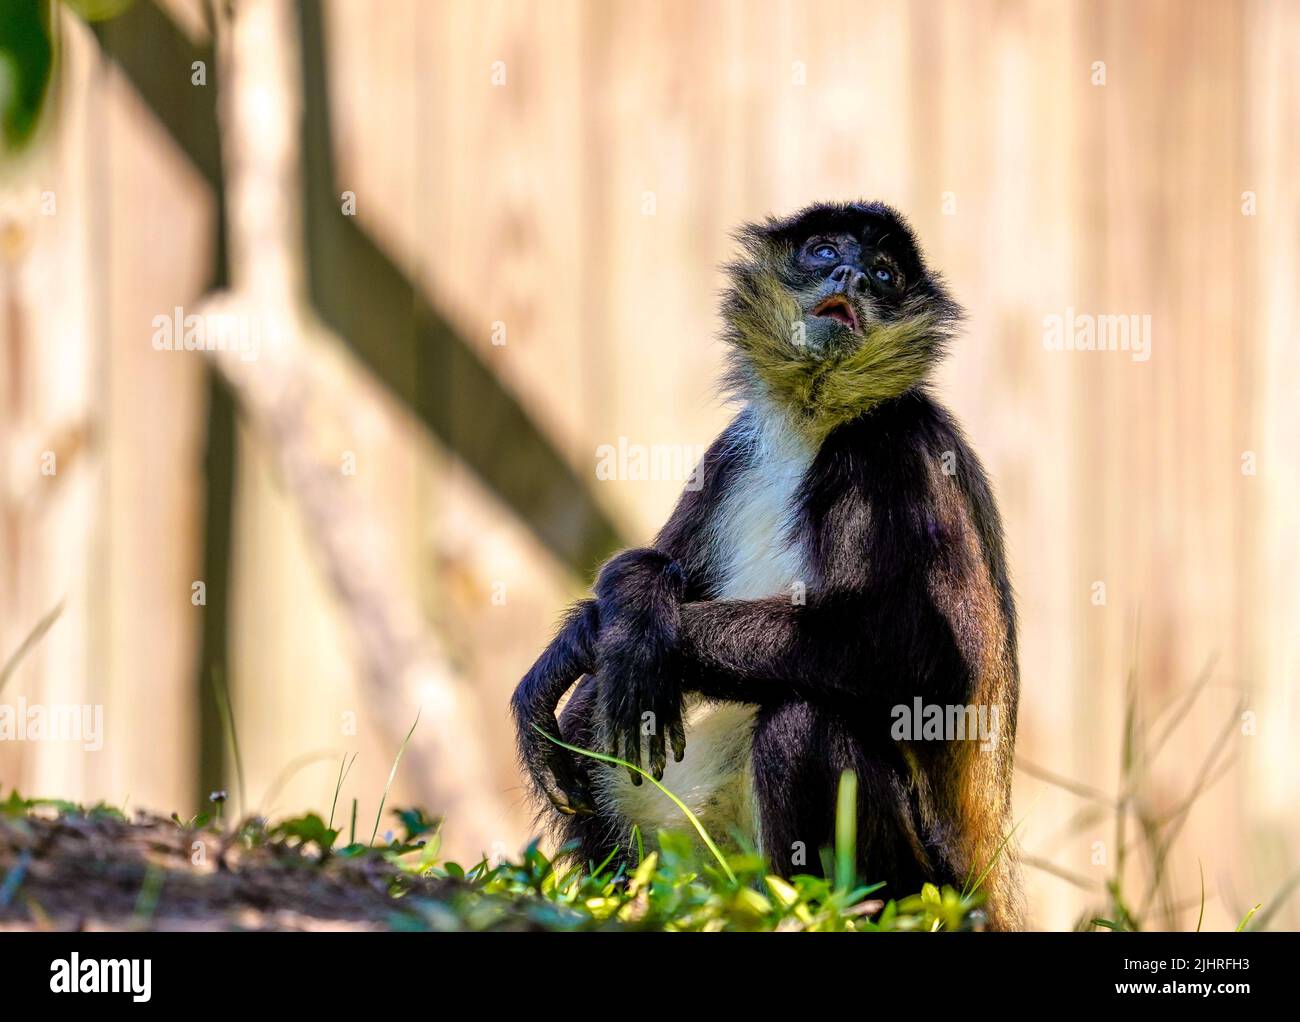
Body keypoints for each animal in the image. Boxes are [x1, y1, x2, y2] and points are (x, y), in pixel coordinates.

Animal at [512, 198, 1019, 925]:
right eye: (824, 250)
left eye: (885, 273)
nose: (850, 275)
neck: (815, 424)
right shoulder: (732, 450)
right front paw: (606, 613)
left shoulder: (898, 445)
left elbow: (926, 659)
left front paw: (624, 628)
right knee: (591, 706)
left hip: (925, 890)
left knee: (800, 722)